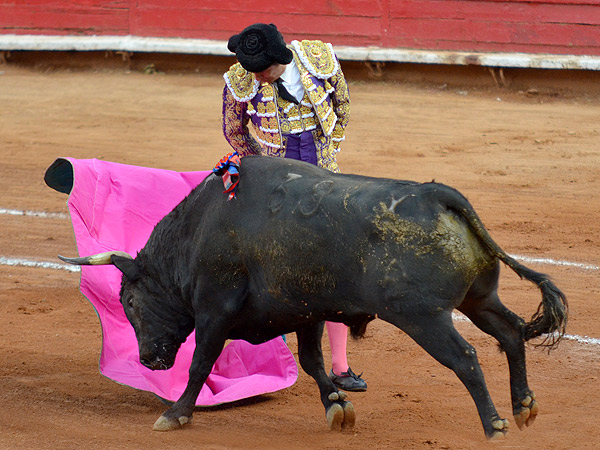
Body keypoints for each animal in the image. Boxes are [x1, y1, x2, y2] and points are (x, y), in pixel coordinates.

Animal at [58, 156, 564, 440]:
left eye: (128, 302)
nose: (148, 360)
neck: (200, 229)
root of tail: (439, 195)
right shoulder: (306, 312)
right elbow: (312, 362)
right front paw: (337, 407)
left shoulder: (215, 310)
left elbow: (201, 362)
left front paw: (176, 414)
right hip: (478, 300)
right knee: (511, 333)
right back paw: (523, 408)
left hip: (424, 317)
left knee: (465, 357)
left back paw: (494, 424)